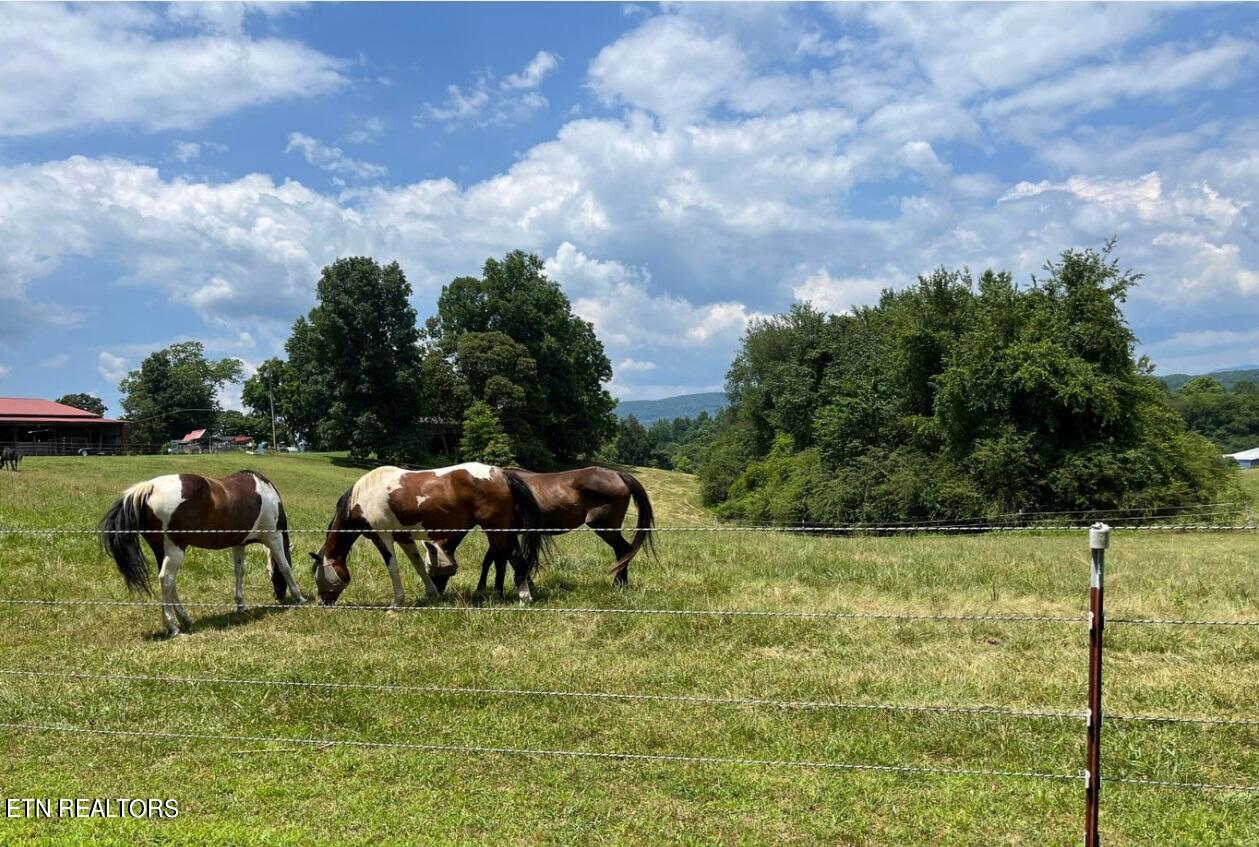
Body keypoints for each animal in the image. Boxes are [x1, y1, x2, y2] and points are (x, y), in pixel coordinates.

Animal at [100, 468, 307, 634]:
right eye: (272, 573)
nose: (279, 595)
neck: (267, 493)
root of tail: (149, 487)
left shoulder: (239, 543)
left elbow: (239, 572)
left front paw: (240, 604)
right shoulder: (273, 537)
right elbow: (286, 566)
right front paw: (299, 597)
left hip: (162, 550)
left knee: (170, 583)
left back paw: (185, 618)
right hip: (175, 550)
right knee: (166, 579)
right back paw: (172, 627)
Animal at [309, 458, 546, 604]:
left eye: (317, 574)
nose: (322, 602)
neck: (361, 498)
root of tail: (502, 475)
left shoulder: (382, 537)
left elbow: (393, 568)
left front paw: (396, 604)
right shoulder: (403, 538)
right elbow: (418, 565)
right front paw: (433, 595)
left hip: (497, 532)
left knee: (515, 558)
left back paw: (524, 598)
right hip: (505, 532)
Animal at [463, 463, 659, 594]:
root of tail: (618, 474)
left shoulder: (503, 532)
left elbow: (498, 560)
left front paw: (483, 589)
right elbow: (500, 559)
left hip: (604, 528)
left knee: (623, 550)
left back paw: (619, 585)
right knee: (623, 551)